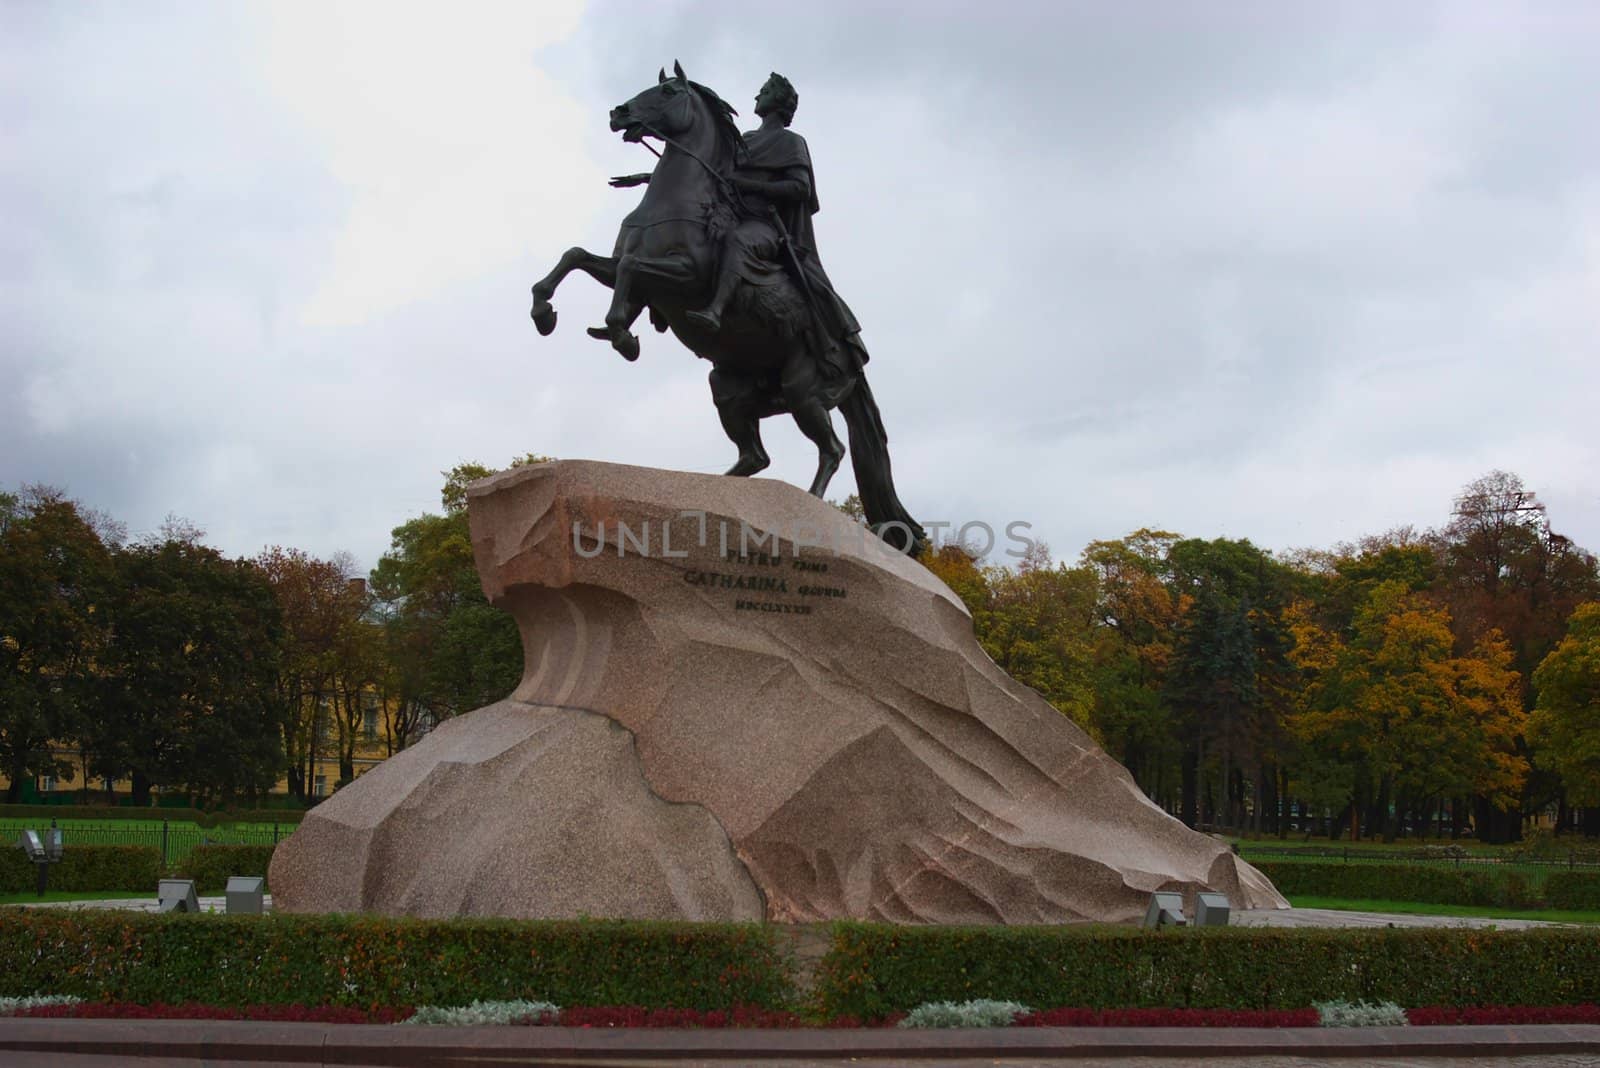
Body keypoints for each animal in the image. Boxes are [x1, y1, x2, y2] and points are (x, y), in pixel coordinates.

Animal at [531, 62, 921, 556]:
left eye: (668, 92)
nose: (618, 113)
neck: (678, 200)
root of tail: (855, 359)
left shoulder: (684, 277)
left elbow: (631, 273)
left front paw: (622, 334)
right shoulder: (626, 274)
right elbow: (577, 256)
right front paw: (545, 312)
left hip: (803, 391)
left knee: (831, 449)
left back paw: (809, 510)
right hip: (729, 389)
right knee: (755, 455)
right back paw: (710, 493)